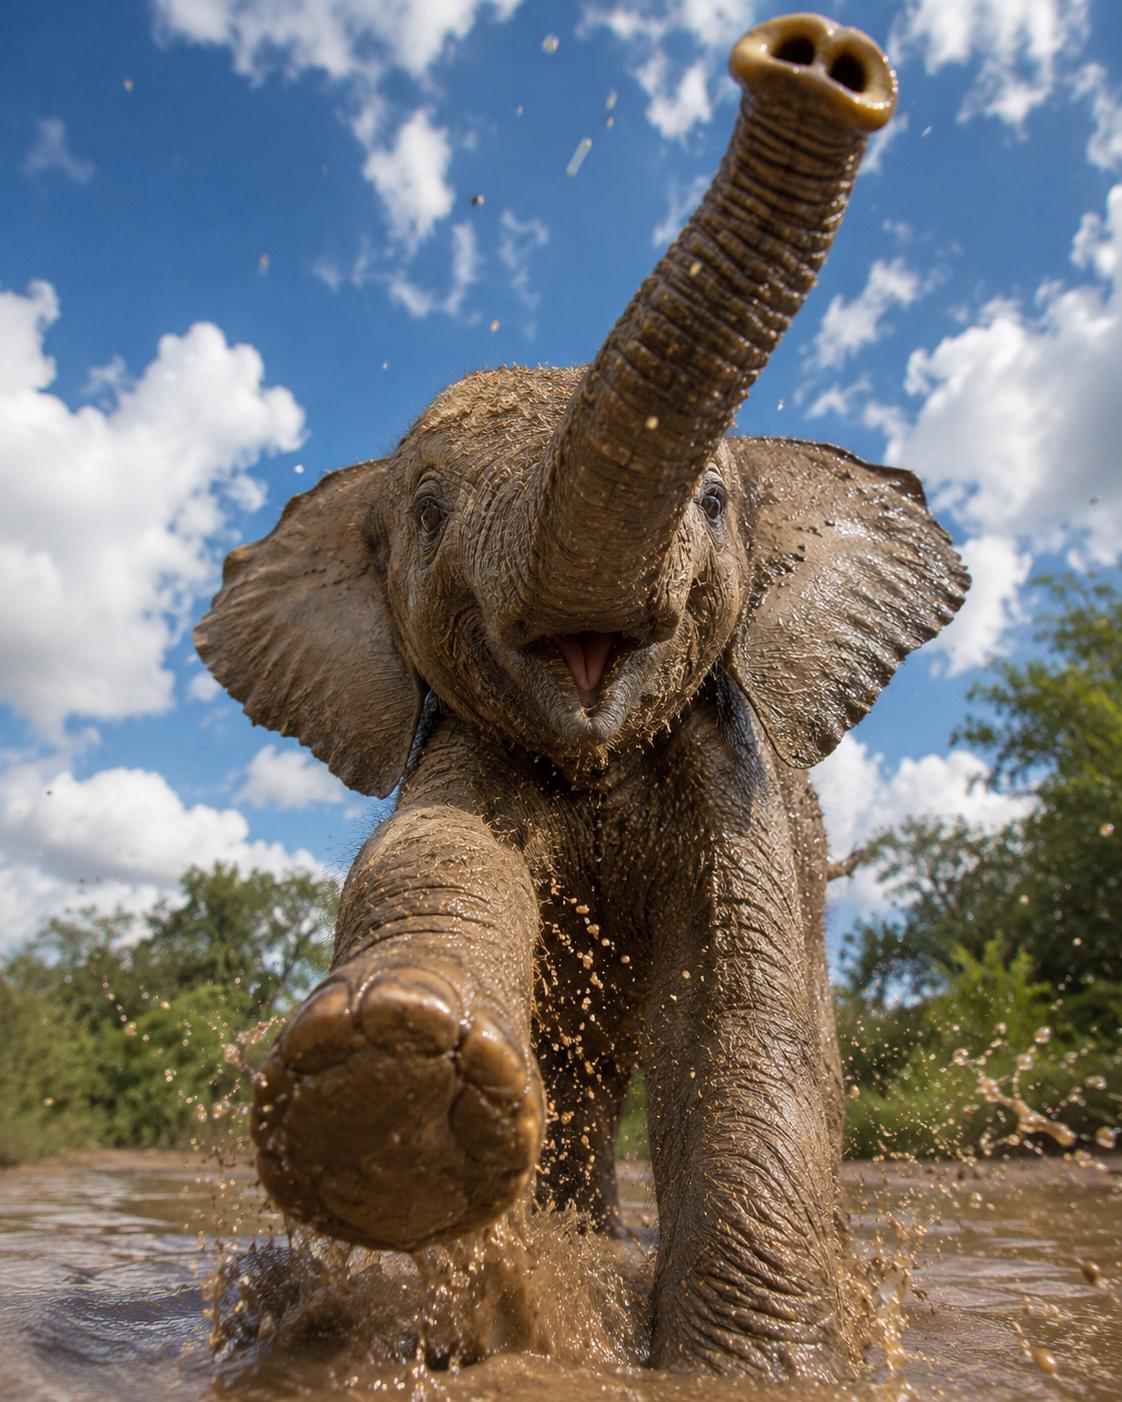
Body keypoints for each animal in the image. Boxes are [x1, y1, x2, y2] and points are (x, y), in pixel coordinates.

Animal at [196, 11, 968, 1381]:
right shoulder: (464, 732)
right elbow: (435, 854)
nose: (818, 58)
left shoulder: (734, 759)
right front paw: (385, 1079)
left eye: (712, 502)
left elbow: (744, 1003)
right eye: (427, 516)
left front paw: (758, 1372)